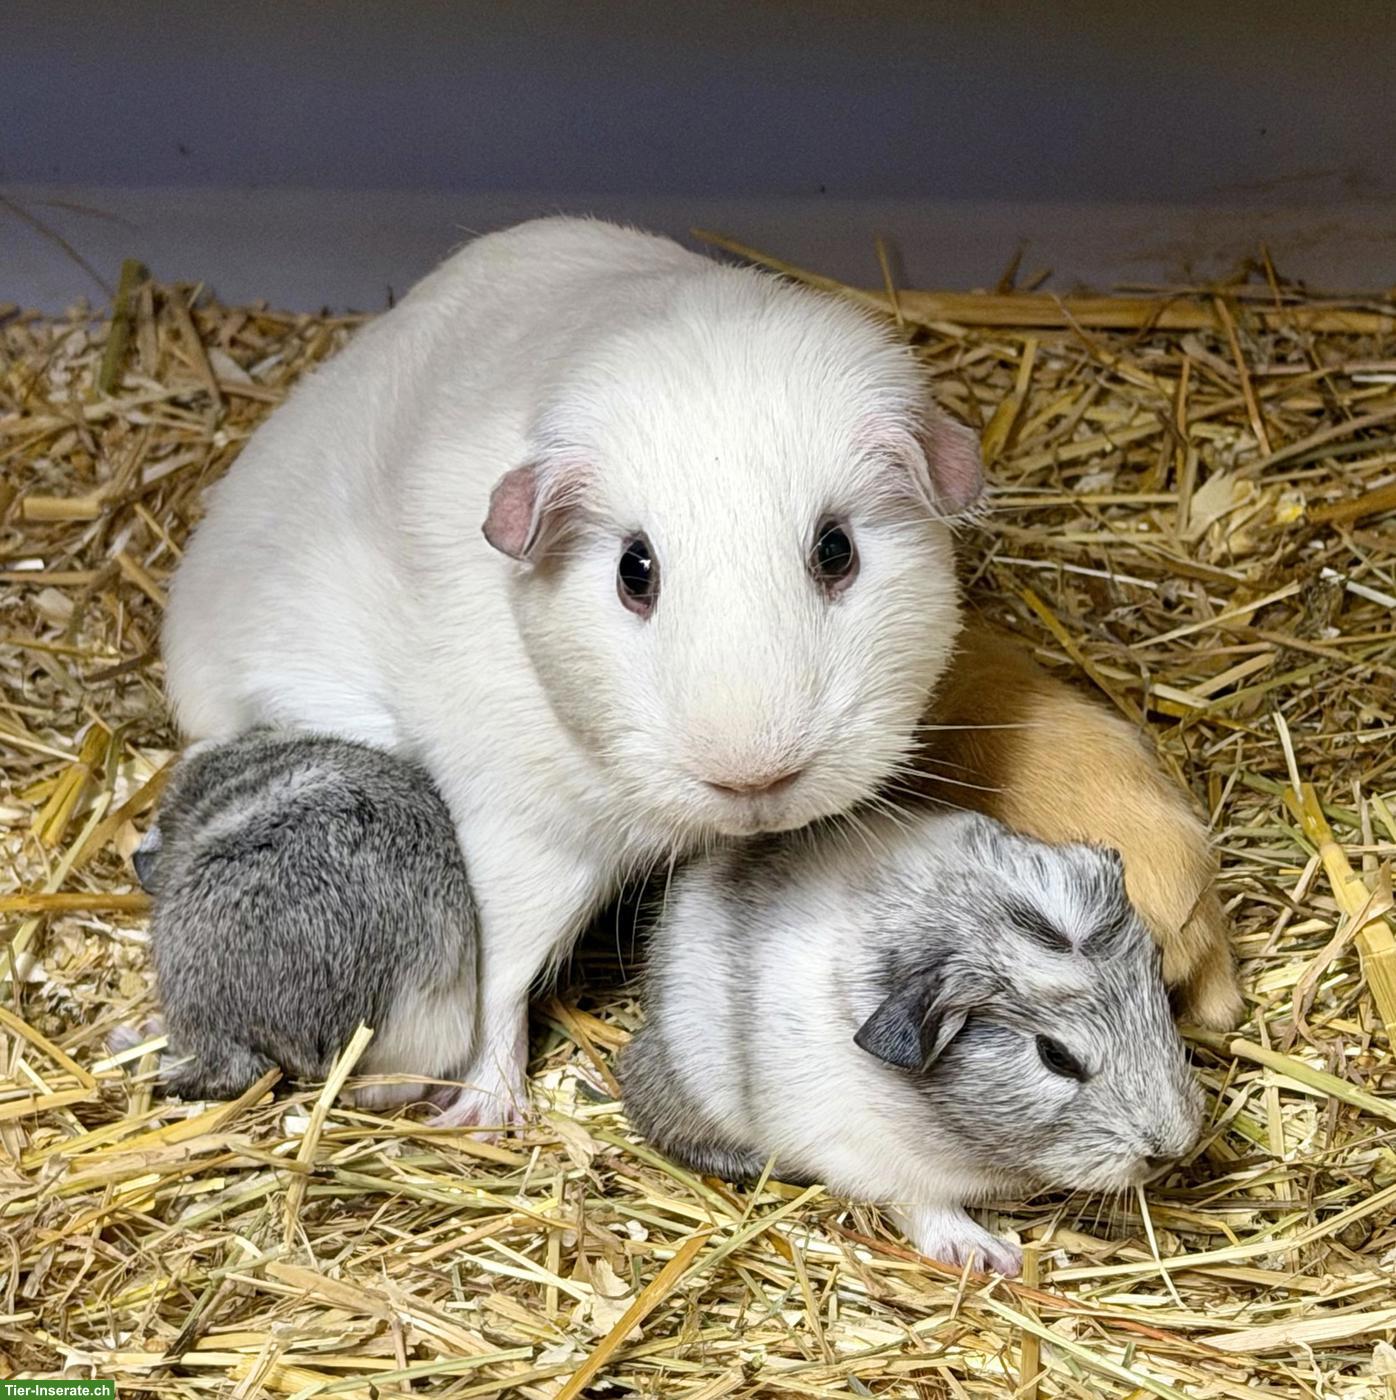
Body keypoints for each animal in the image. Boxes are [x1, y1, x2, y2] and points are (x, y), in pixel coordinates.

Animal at [161, 216, 984, 1124]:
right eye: (634, 570)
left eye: (838, 551)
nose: (753, 778)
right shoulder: (517, 831)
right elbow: (499, 977)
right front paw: (485, 1114)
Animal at [619, 805, 1204, 1278]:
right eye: (1055, 1055)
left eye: (1160, 993)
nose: (1170, 1149)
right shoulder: (880, 1163)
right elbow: (926, 1208)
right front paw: (994, 1259)